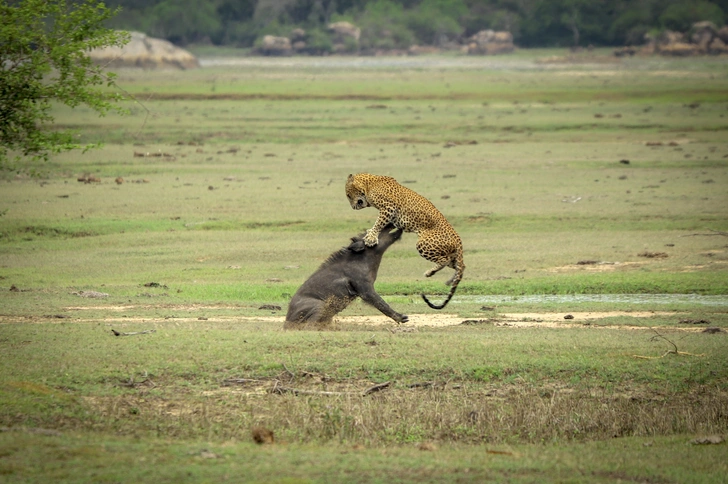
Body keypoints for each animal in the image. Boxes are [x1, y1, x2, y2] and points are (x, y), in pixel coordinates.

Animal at [344, 173, 464, 310]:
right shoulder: (391, 214)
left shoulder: (388, 208)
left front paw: (371, 238)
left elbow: (379, 223)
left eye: (348, 195)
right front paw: (370, 234)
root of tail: (458, 239)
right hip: (448, 254)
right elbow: (383, 225)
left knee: (445, 260)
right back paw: (451, 280)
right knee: (460, 267)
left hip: (423, 244)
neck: (368, 185)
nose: (353, 207)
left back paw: (430, 272)